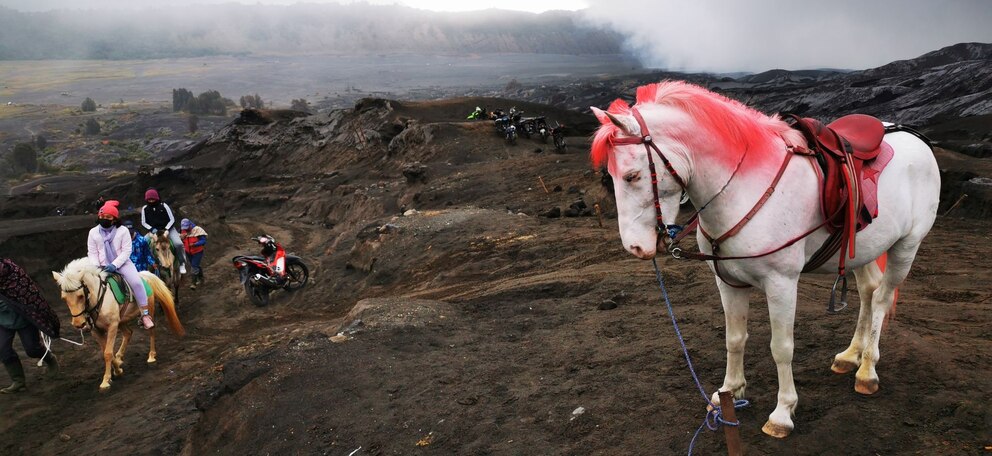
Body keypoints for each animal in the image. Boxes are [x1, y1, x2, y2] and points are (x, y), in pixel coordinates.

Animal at [52, 258, 186, 390]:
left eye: (80, 296)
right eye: (64, 298)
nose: (78, 324)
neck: (98, 299)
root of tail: (144, 276)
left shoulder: (112, 326)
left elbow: (107, 353)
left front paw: (106, 380)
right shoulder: (96, 331)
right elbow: (107, 352)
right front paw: (117, 369)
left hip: (149, 310)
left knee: (151, 330)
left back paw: (151, 356)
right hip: (121, 320)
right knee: (128, 333)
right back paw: (120, 356)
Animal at [592, 82, 940, 438]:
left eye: (632, 176)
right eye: (609, 176)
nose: (634, 247)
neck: (743, 188)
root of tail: (913, 136)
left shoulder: (781, 284)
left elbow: (781, 347)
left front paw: (783, 412)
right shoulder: (728, 282)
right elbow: (734, 339)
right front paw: (728, 392)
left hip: (906, 246)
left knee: (882, 298)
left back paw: (867, 369)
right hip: (864, 248)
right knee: (869, 292)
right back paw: (850, 356)